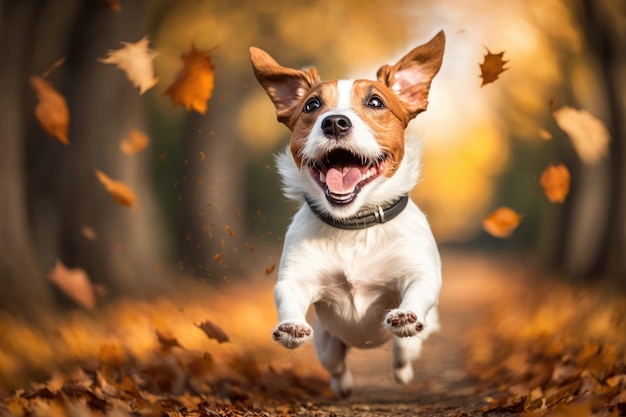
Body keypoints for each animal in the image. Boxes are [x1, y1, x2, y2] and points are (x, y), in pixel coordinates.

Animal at [247, 32, 444, 396]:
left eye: (376, 102)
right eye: (312, 105)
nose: (335, 122)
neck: (354, 226)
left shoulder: (419, 272)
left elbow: (419, 289)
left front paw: (406, 315)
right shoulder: (296, 277)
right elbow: (288, 296)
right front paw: (292, 327)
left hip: (406, 343)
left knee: (403, 351)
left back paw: (402, 366)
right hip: (328, 344)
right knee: (337, 366)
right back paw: (344, 385)